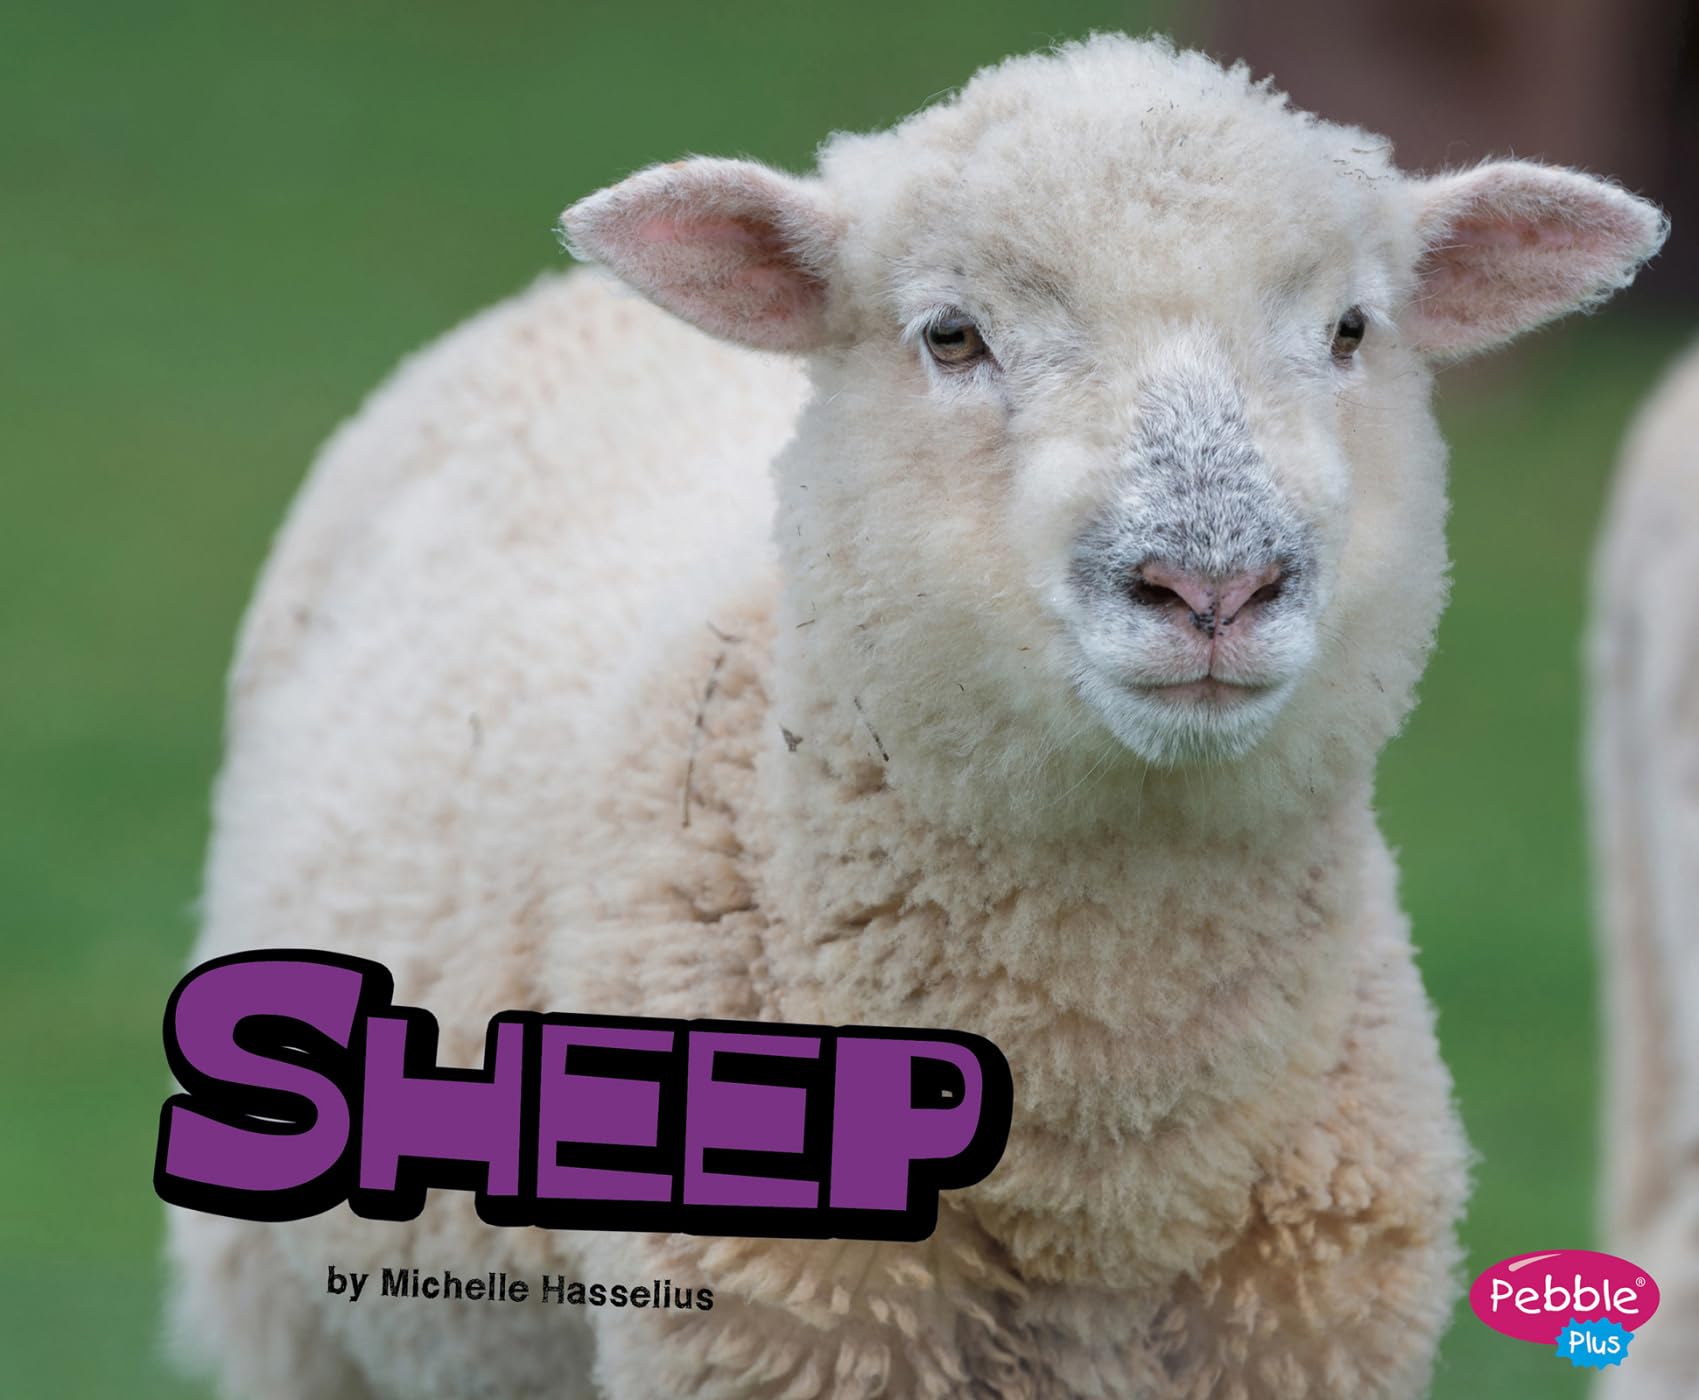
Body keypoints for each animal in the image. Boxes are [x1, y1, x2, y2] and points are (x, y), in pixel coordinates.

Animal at [164, 33, 1667, 1400]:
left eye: (1350, 330)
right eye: (951, 334)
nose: (1211, 585)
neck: (1104, 1150)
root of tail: (564, 298)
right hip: (294, 1322)